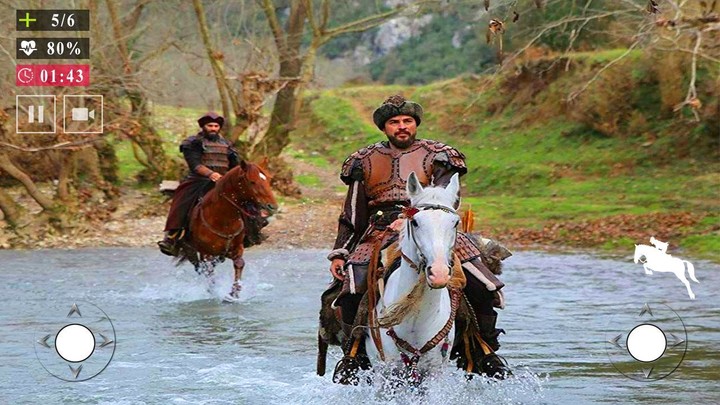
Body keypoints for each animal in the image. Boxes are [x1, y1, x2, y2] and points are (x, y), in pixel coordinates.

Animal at [176, 159, 277, 302]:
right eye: (252, 181)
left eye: (268, 180)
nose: (272, 206)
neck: (224, 220)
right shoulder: (206, 254)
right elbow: (209, 272)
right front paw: (214, 293)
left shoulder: (237, 249)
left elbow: (239, 264)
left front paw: (233, 294)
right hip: (192, 250)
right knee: (200, 267)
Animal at [364, 171, 462, 382]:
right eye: (415, 222)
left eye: (455, 223)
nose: (439, 274)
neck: (416, 322)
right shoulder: (386, 372)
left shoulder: (434, 373)